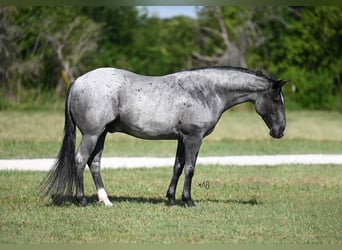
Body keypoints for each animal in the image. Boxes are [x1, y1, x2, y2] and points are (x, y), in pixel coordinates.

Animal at [43, 66, 288, 207]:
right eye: (276, 99)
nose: (280, 131)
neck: (206, 91)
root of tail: (78, 81)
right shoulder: (193, 138)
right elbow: (190, 168)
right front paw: (188, 200)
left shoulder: (182, 139)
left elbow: (177, 167)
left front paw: (170, 199)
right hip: (92, 134)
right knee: (80, 160)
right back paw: (82, 200)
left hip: (101, 134)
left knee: (94, 163)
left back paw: (106, 200)